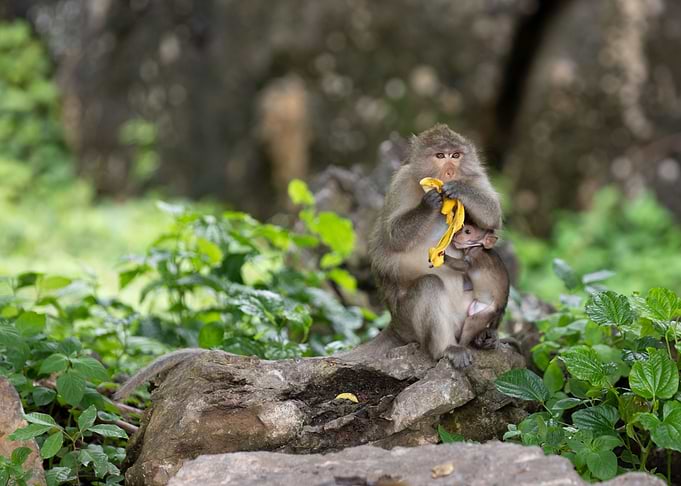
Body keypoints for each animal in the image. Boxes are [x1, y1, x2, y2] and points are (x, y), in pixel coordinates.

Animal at [369, 124, 502, 368]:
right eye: (440, 156)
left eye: (455, 156)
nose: (450, 173)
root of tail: (394, 325)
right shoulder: (401, 183)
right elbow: (392, 236)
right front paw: (428, 203)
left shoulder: (476, 178)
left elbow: (491, 217)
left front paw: (460, 189)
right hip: (407, 320)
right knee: (429, 285)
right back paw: (447, 348)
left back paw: (485, 336)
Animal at [449, 223, 510, 353]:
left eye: (467, 231)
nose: (455, 234)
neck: (475, 247)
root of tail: (501, 308)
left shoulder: (478, 258)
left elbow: (465, 267)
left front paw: (443, 257)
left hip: (488, 312)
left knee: (471, 323)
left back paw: (461, 345)